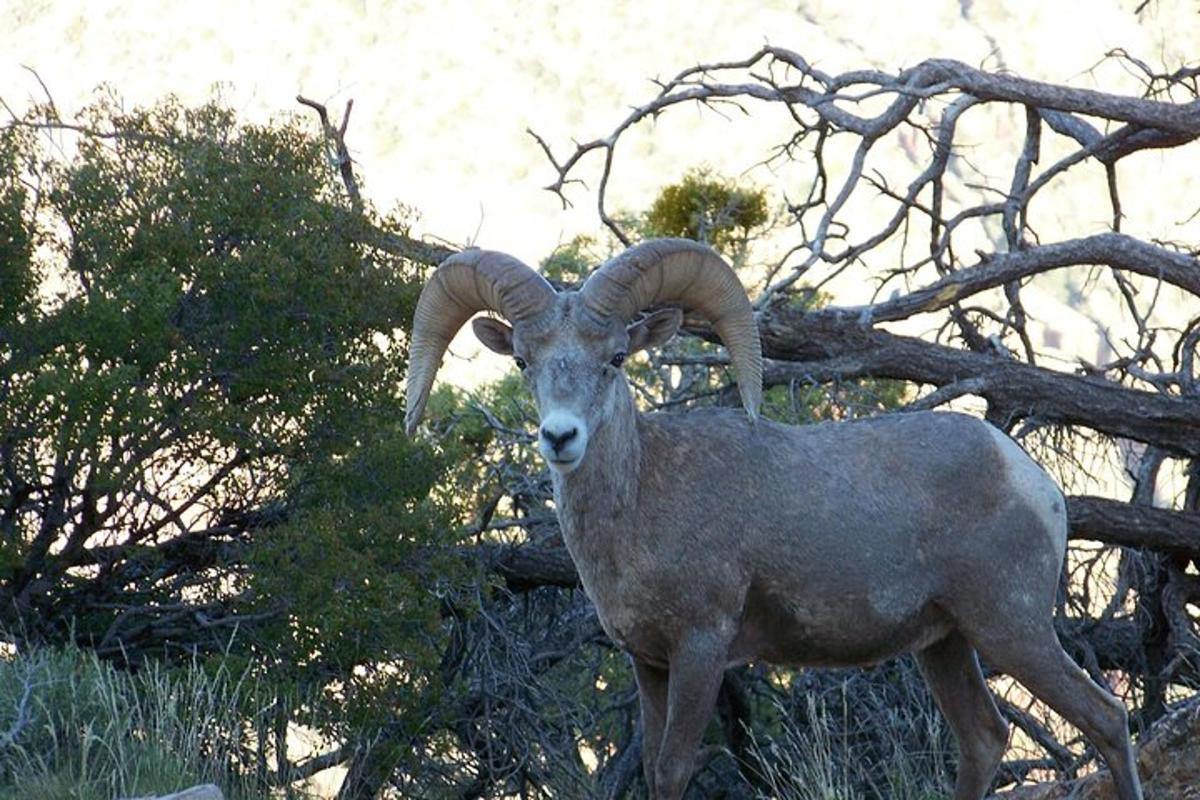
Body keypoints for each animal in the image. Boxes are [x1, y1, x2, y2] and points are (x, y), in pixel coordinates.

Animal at [405, 239, 1142, 800]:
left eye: (614, 358)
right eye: (524, 362)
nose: (560, 437)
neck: (642, 503)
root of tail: (1033, 481)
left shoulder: (702, 649)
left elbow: (672, 769)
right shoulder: (649, 663)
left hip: (1010, 628)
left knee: (1106, 719)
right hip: (946, 643)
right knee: (984, 740)